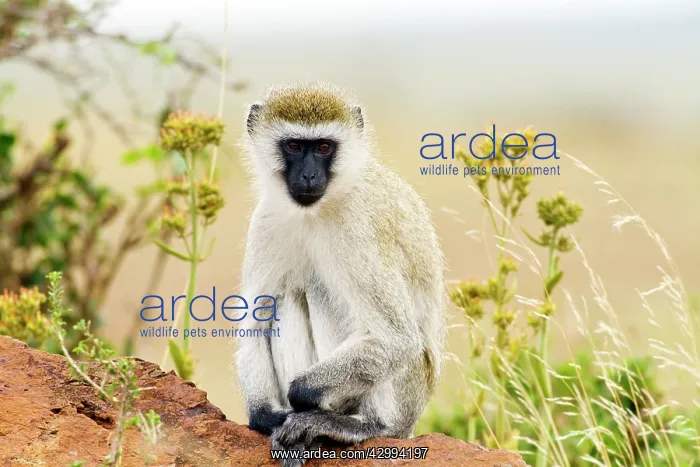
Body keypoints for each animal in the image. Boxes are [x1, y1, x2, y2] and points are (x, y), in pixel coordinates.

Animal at [235, 83, 445, 466]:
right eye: (293, 146)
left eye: (323, 147)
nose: (308, 176)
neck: (318, 210)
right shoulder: (267, 219)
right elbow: (253, 330)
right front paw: (265, 415)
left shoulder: (357, 225)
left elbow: (395, 338)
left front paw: (299, 402)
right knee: (288, 295)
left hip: (405, 398)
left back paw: (359, 424)